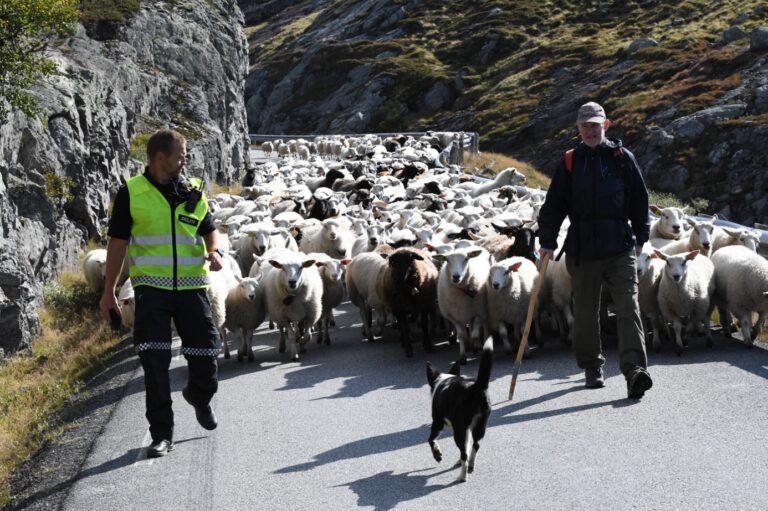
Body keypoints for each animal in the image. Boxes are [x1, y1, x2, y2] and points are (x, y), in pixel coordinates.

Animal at [426, 338, 492, 482]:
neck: (443, 380)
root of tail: (476, 388)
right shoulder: (467, 430)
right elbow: (467, 446)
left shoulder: (437, 423)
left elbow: (431, 440)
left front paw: (437, 455)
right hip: (479, 426)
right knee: (475, 446)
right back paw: (470, 466)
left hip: (459, 430)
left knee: (464, 454)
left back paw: (462, 476)